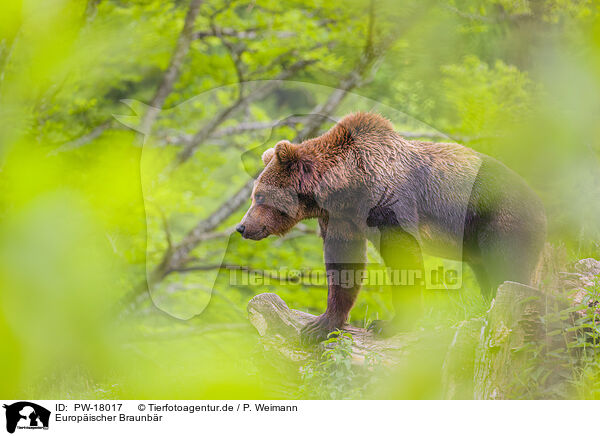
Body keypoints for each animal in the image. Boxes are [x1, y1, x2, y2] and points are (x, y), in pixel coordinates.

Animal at [237, 112, 548, 344]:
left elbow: (403, 256)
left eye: (259, 195)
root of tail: (540, 204)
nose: (242, 227)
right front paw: (320, 325)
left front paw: (391, 323)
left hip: (499, 219)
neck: (348, 187)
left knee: (509, 266)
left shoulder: (391, 204)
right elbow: (344, 263)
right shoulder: (341, 220)